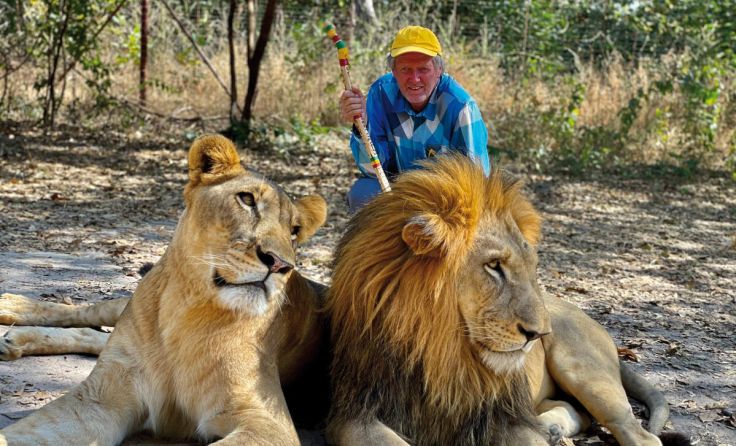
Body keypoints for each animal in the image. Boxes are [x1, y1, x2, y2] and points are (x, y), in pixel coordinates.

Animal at [0, 135, 329, 446]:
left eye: (294, 230)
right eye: (246, 199)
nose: (281, 264)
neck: (188, 306)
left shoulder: (268, 424)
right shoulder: (99, 399)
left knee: (95, 337)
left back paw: (15, 339)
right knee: (90, 314)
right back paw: (12, 309)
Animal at [326, 155, 689, 446]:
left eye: (532, 266)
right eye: (494, 266)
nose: (538, 334)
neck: (439, 354)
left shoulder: (500, 414)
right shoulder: (356, 410)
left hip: (584, 370)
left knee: (641, 435)